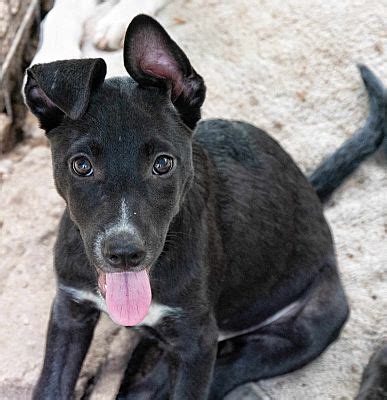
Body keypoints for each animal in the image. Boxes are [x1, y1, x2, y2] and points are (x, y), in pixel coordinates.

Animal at [25, 14, 386, 398]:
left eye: (163, 163)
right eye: (81, 165)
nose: (124, 253)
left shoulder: (196, 341)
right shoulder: (69, 311)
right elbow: (50, 386)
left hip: (304, 327)